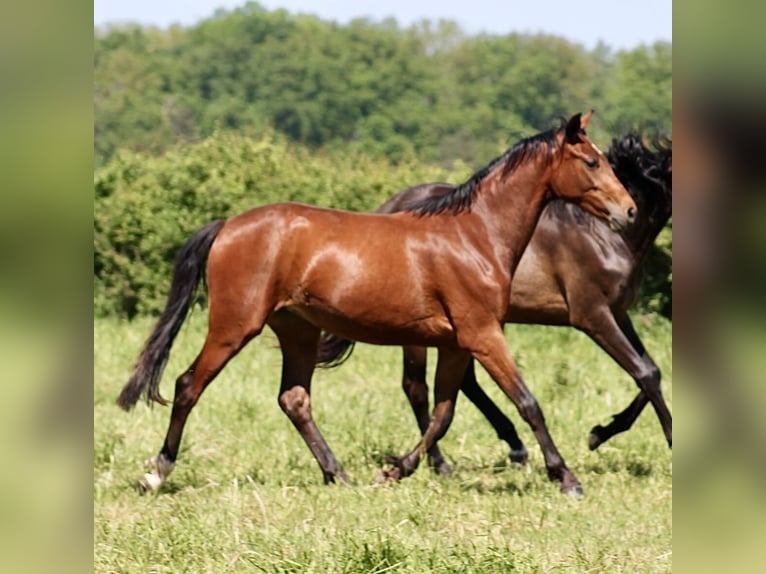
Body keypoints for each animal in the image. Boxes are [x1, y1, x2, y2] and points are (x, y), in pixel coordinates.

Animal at [118, 111, 636, 496]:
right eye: (591, 162)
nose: (628, 211)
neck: (474, 235)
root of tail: (227, 226)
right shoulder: (483, 334)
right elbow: (528, 403)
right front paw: (566, 477)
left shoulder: (456, 343)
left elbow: (443, 414)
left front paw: (396, 470)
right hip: (234, 326)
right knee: (188, 385)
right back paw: (157, 473)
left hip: (297, 330)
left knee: (294, 399)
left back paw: (338, 475)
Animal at [318, 133, 672, 474]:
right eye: (591, 163)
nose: (628, 212)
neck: (603, 235)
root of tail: (388, 207)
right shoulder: (592, 316)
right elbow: (643, 372)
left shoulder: (618, 314)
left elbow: (652, 371)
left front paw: (600, 433)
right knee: (416, 387)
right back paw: (441, 462)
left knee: (463, 383)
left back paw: (511, 446)